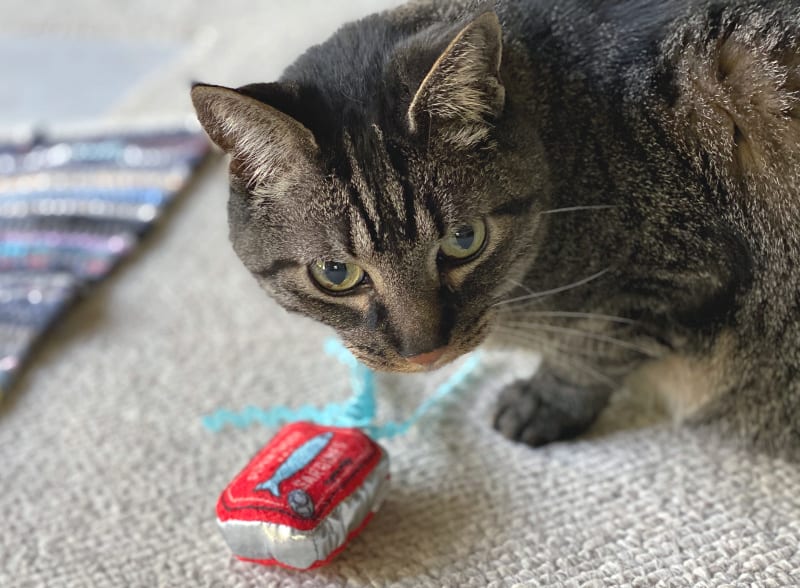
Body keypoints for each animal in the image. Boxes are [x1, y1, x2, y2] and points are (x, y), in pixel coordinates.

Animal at [192, 0, 800, 458]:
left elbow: (590, 352)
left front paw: (542, 403)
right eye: (335, 273)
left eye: (464, 241)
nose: (425, 352)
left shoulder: (673, 275)